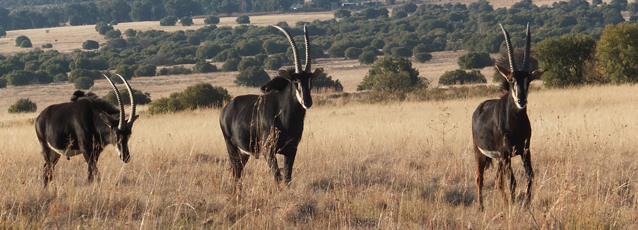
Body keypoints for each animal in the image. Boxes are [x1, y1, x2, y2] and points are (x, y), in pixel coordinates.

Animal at [221, 24, 324, 187]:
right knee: (236, 171)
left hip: (244, 151)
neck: (286, 116)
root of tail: (226, 109)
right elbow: (277, 176)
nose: (307, 102)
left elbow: (287, 177)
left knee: (238, 171)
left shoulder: (291, 150)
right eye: (295, 81)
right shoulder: (268, 150)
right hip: (231, 145)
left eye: (310, 81)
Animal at [472, 22, 548, 210]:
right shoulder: (506, 153)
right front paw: (516, 205)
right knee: (480, 178)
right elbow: (512, 181)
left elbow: (530, 176)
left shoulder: (525, 151)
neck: (515, 124)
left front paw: (526, 203)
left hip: (500, 159)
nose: (521, 100)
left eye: (528, 80)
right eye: (512, 80)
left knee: (498, 181)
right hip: (481, 153)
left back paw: (505, 204)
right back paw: (481, 207)